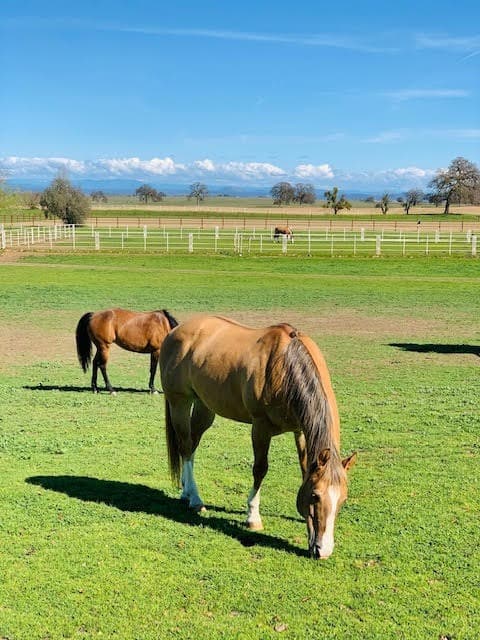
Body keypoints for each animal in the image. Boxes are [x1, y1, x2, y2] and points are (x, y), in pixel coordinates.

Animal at [160, 315, 356, 559]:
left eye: (343, 499)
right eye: (315, 496)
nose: (323, 550)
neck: (285, 365)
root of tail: (175, 331)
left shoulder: (300, 431)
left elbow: (304, 469)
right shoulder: (260, 427)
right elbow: (260, 469)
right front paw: (253, 517)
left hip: (204, 405)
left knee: (193, 444)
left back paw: (186, 491)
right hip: (179, 402)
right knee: (186, 446)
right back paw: (195, 499)